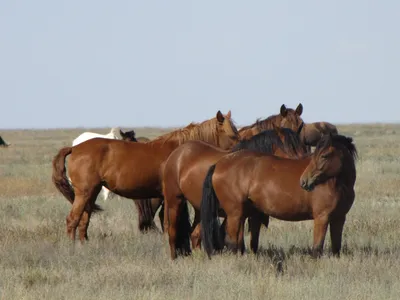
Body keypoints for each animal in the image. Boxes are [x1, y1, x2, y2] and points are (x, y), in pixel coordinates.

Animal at [49, 110, 238, 244]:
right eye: (232, 135)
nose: (239, 151)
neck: (181, 152)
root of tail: (75, 148)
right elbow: (167, 221)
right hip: (84, 192)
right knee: (72, 219)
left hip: (92, 192)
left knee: (84, 220)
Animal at [161, 125, 308, 258]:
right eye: (291, 152)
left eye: (303, 150)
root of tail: (178, 152)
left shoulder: (248, 214)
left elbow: (250, 242)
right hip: (174, 202)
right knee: (173, 232)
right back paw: (174, 259)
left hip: (199, 209)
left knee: (195, 235)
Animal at [202, 133, 358, 258]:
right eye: (315, 155)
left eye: (324, 156)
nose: (304, 181)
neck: (336, 184)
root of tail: (219, 164)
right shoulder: (322, 218)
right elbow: (317, 249)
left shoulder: (339, 218)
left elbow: (336, 247)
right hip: (235, 214)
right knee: (232, 242)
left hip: (242, 214)